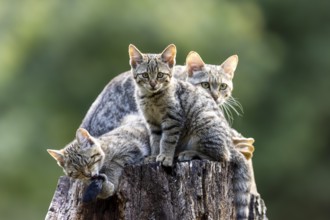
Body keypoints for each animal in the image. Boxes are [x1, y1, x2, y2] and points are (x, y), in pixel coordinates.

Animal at [130, 43, 251, 219]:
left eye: (160, 75)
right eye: (145, 75)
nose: (153, 84)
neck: (151, 97)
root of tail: (231, 144)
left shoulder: (173, 119)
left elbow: (167, 140)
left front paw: (165, 157)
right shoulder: (152, 124)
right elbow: (155, 141)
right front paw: (154, 156)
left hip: (204, 127)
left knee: (222, 156)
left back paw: (189, 153)